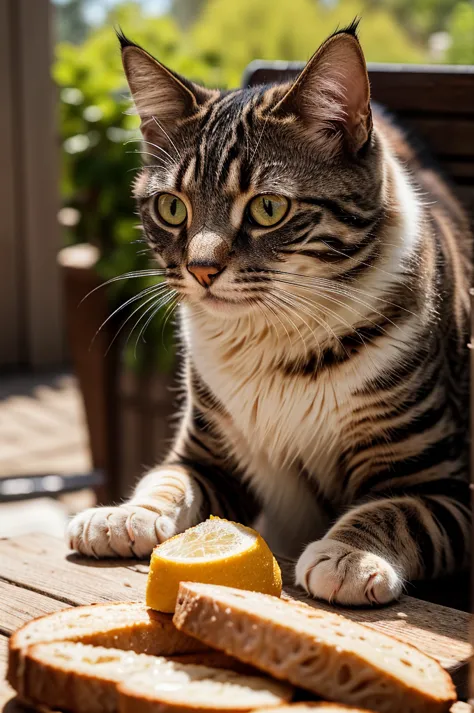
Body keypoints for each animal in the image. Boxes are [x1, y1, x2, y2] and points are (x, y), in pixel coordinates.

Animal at [68, 25, 472, 608]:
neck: (274, 343)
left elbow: (396, 511)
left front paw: (349, 555)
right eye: (172, 207)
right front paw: (124, 515)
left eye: (268, 208)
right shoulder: (206, 455)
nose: (201, 268)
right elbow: (166, 480)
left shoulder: (442, 482)